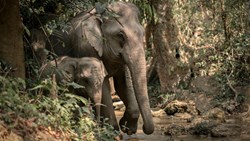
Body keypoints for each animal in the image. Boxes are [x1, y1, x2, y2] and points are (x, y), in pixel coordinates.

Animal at [45, 1, 154, 135]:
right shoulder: (85, 45)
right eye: (120, 35)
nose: (143, 128)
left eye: (143, 33)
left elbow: (122, 83)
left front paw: (127, 128)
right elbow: (104, 86)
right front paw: (114, 132)